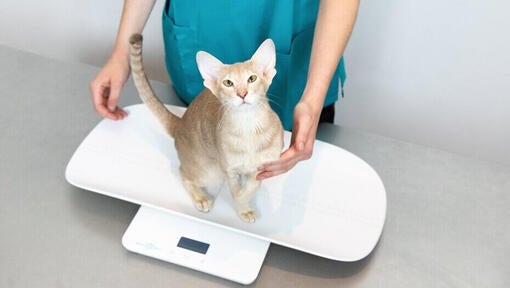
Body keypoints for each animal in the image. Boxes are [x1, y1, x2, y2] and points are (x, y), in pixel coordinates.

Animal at [128, 33, 282, 223]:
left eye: (252, 79)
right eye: (228, 83)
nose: (242, 94)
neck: (248, 128)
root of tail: (180, 123)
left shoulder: (263, 168)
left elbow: (251, 188)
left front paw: (244, 201)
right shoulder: (228, 170)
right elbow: (236, 191)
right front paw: (243, 207)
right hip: (209, 171)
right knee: (183, 172)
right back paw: (201, 197)